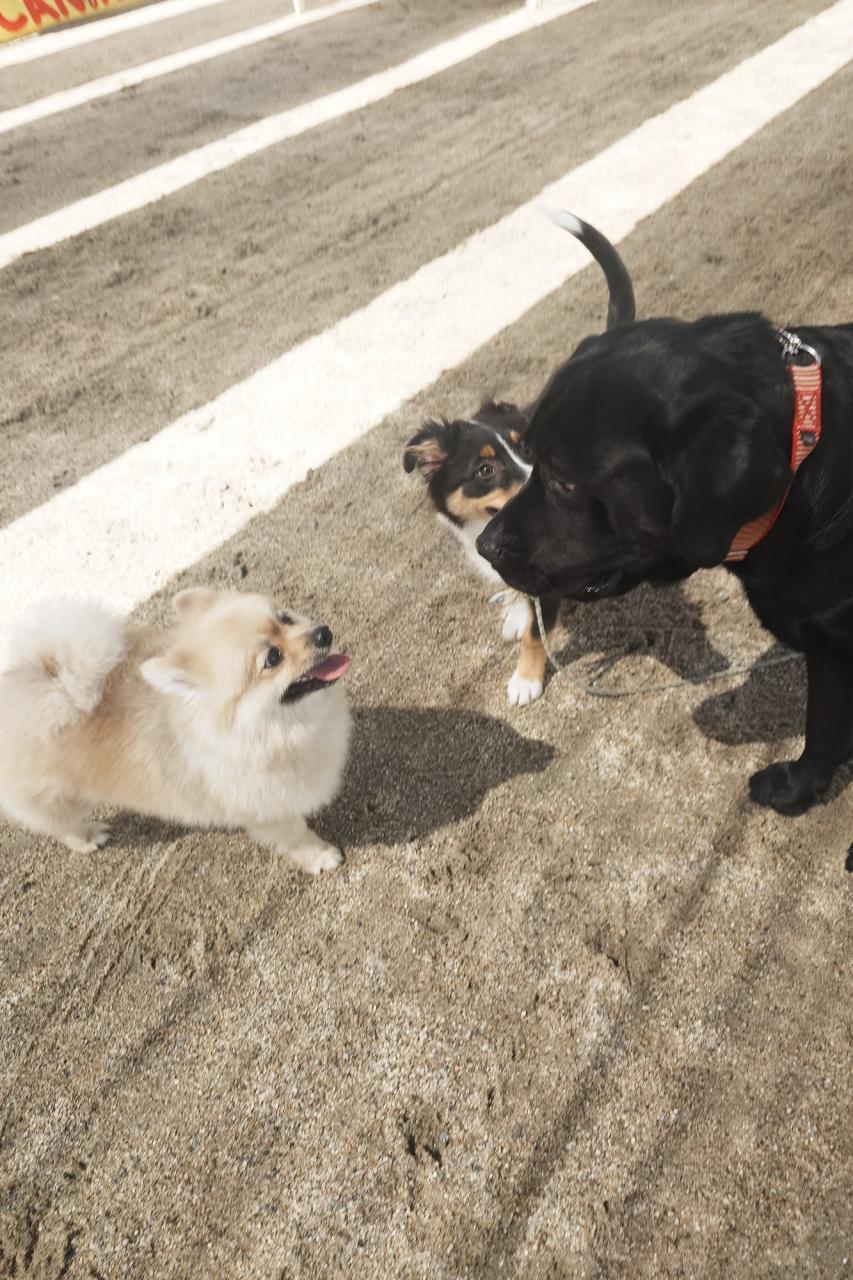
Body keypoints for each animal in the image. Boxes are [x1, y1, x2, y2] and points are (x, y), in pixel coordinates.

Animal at [0, 589, 351, 873]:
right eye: (273, 658)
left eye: (285, 617)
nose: (323, 633)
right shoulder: (269, 812)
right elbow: (297, 836)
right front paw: (321, 857)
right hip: (58, 799)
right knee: (61, 826)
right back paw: (88, 837)